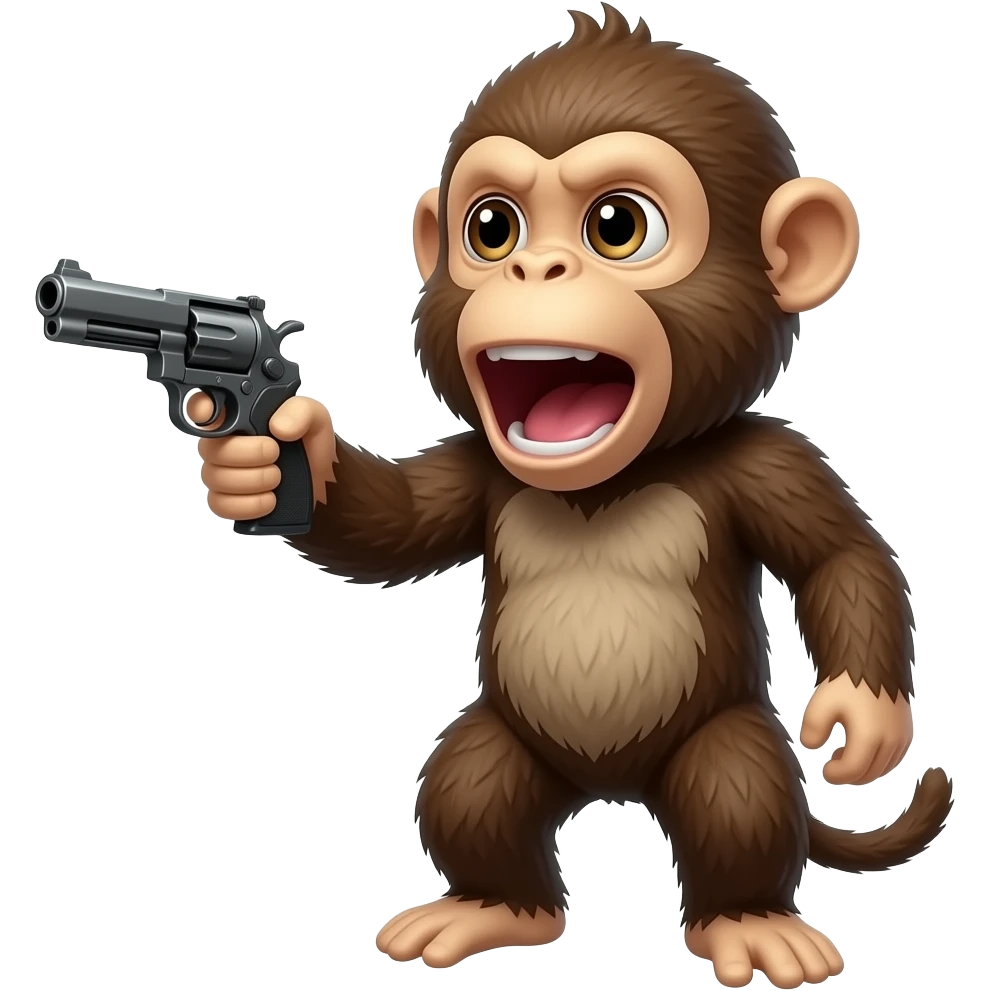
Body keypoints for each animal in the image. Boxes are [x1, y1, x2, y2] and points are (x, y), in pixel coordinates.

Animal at [191, 6, 951, 986]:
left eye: (616, 227)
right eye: (491, 228)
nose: (533, 270)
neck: (609, 478)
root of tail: (613, 789)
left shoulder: (771, 459)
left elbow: (838, 555)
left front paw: (863, 715)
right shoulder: (482, 464)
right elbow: (396, 524)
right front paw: (263, 464)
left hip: (722, 742)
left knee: (736, 790)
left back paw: (748, 923)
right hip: (504, 745)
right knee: (470, 785)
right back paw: (489, 908)